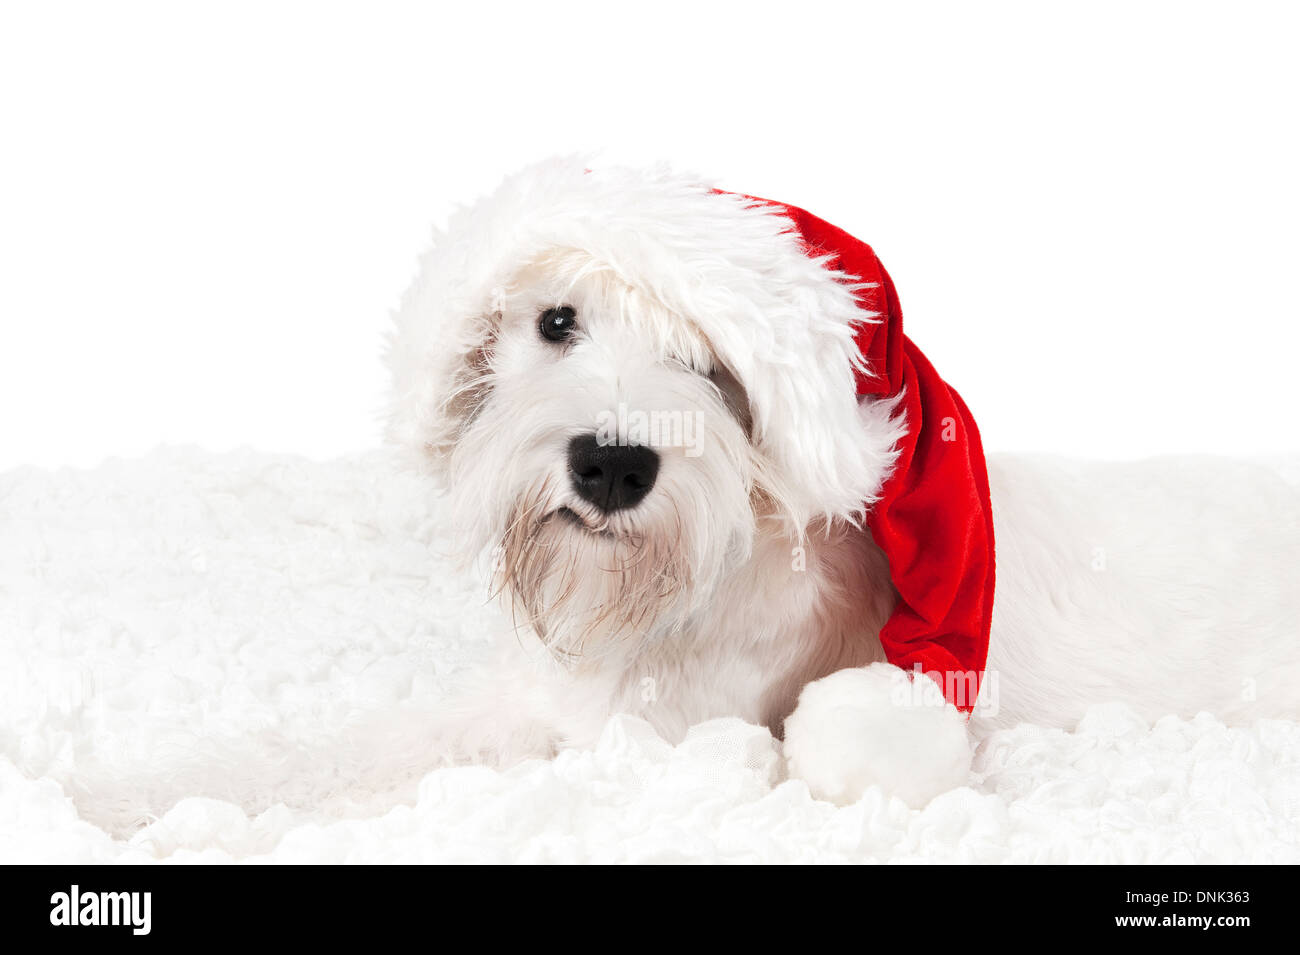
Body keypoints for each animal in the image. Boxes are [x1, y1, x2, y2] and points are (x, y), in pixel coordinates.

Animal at [384, 160, 1300, 810]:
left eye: (711, 368)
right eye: (556, 321)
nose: (613, 465)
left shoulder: (652, 740)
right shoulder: (528, 698)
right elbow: (397, 734)